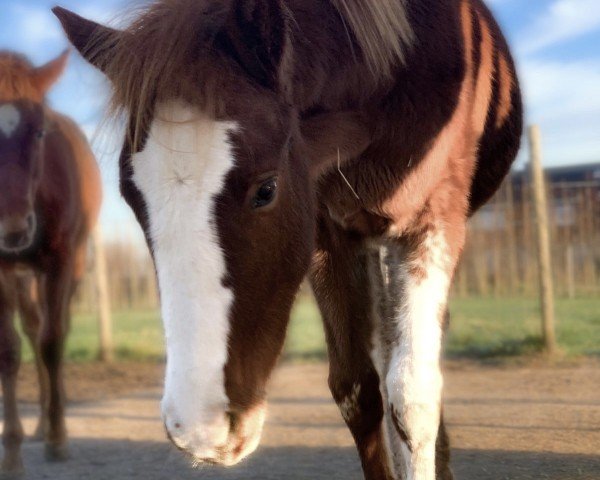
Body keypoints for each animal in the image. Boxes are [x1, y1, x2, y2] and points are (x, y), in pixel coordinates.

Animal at [56, 1, 524, 478]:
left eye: (266, 189)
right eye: (131, 195)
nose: (200, 430)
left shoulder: (432, 222)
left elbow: (413, 398)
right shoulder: (328, 236)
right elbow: (357, 389)